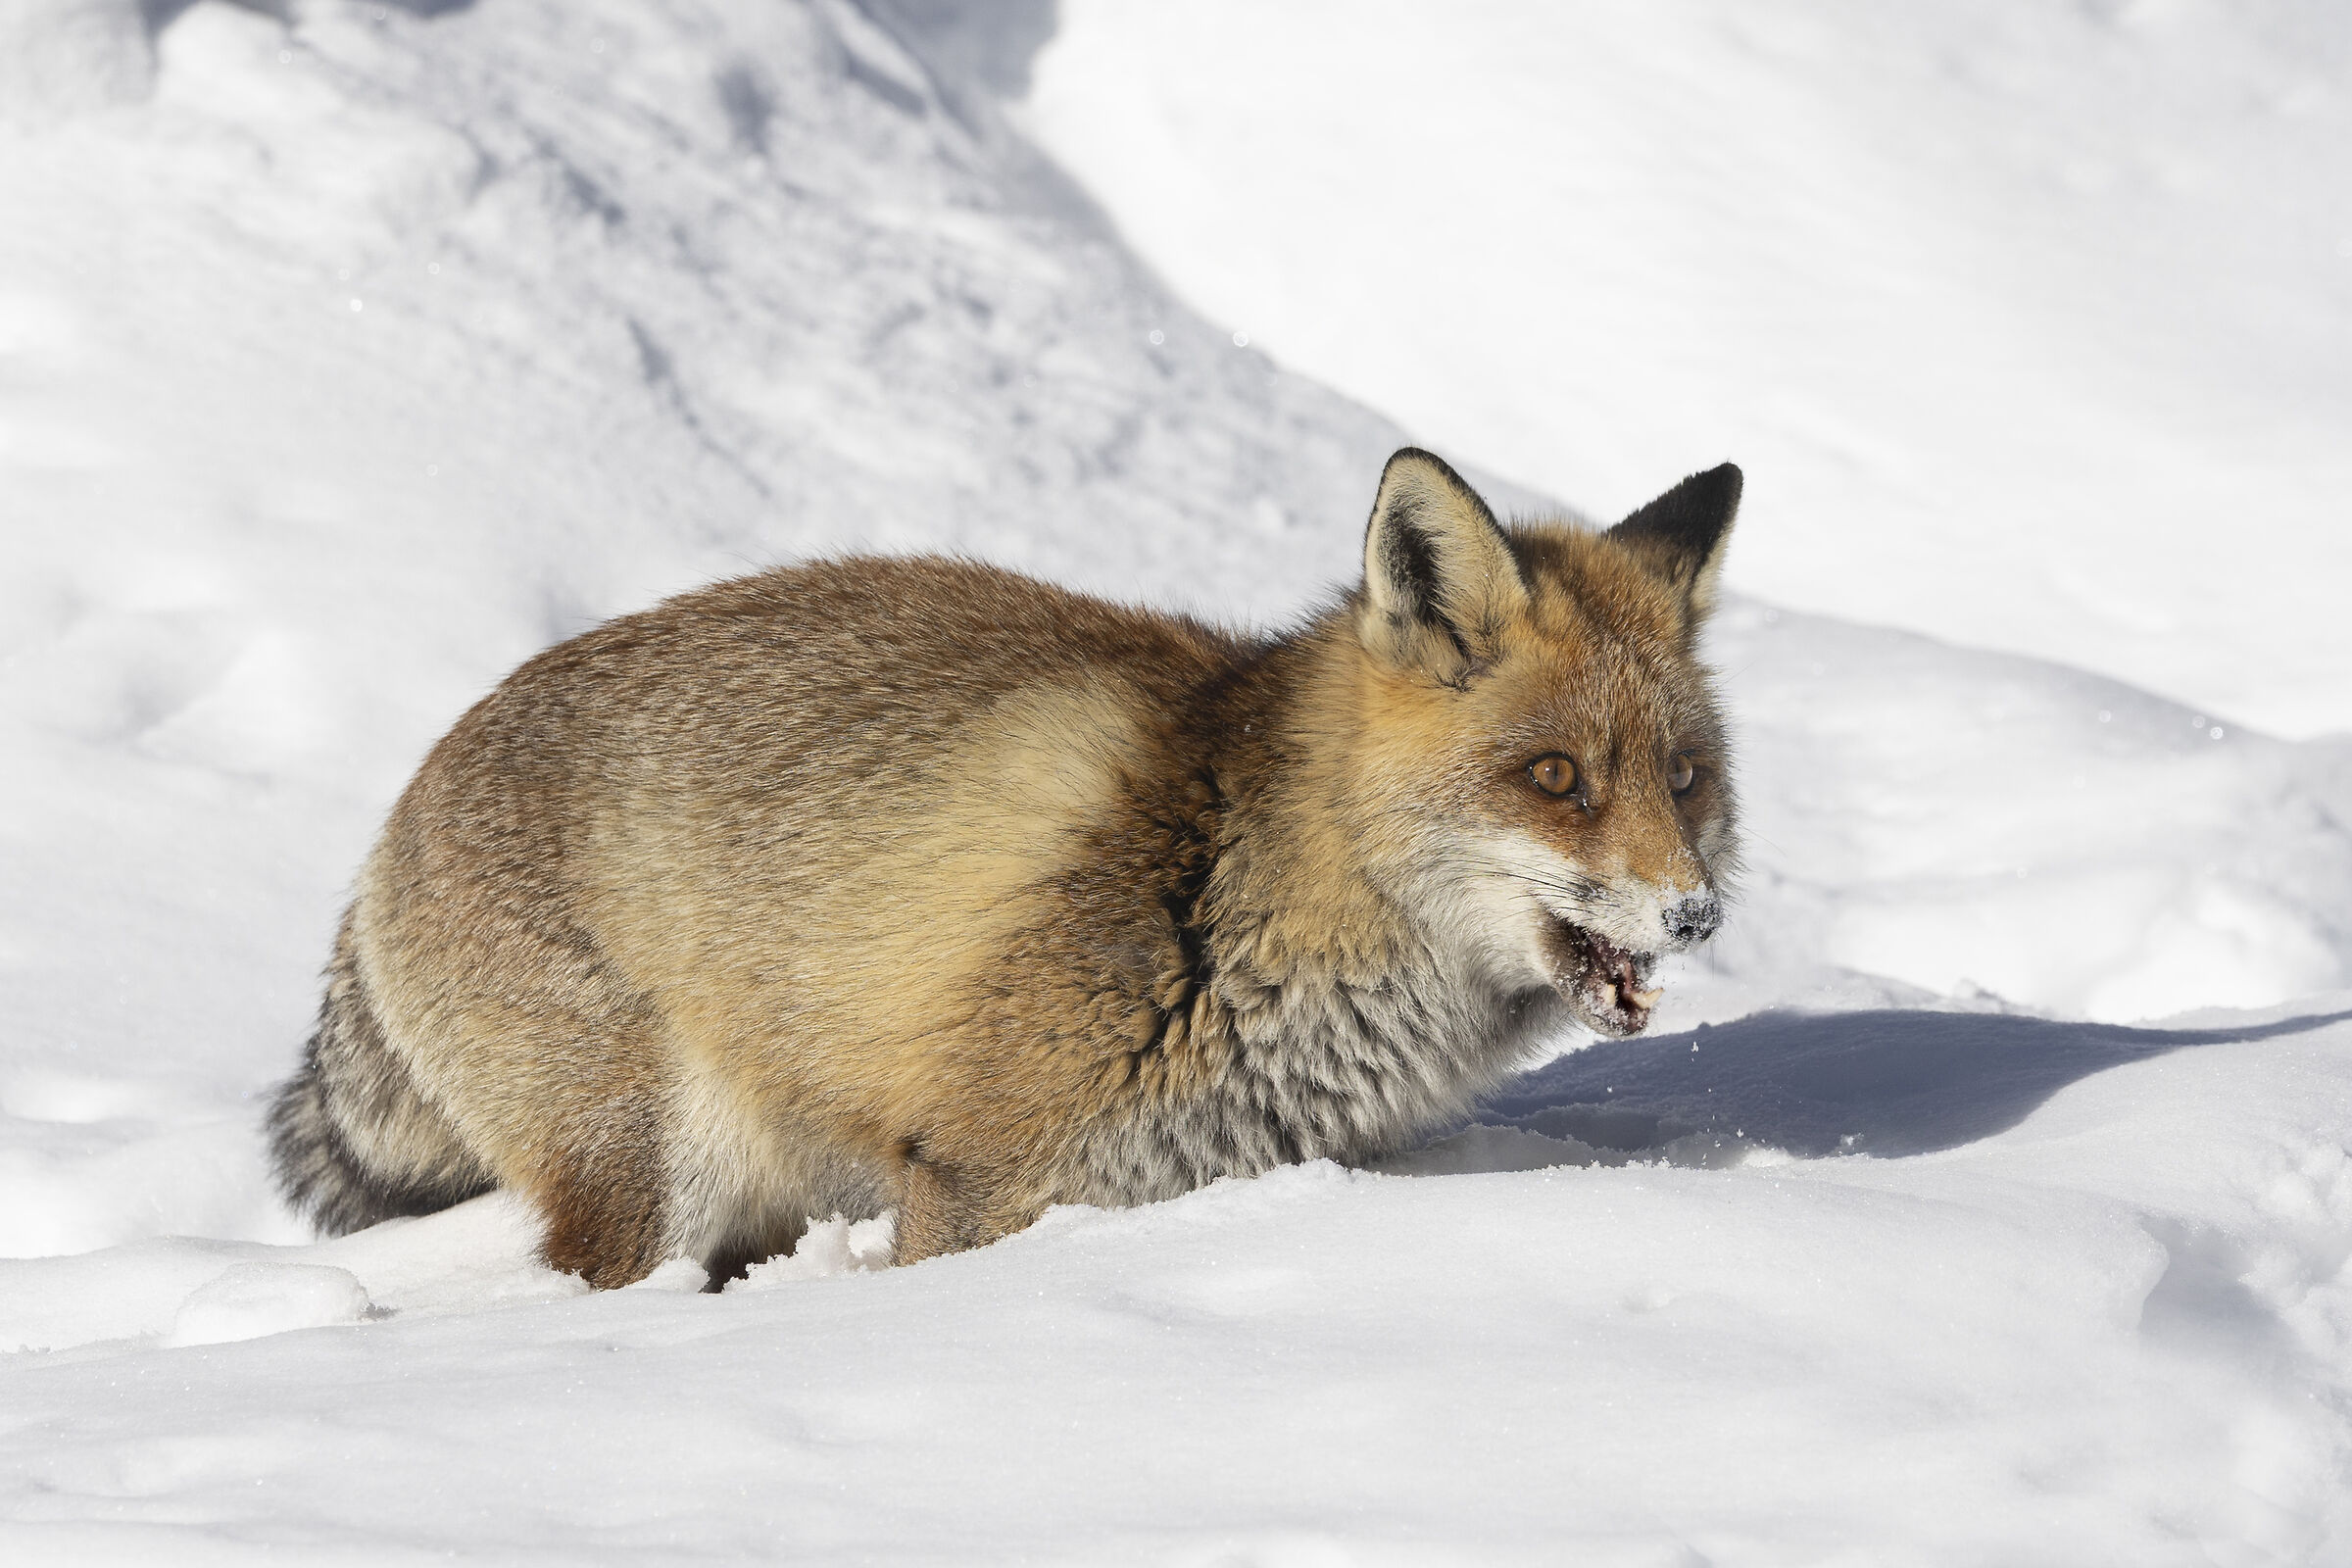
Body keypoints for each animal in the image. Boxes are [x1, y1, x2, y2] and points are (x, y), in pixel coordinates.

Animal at [267, 448, 1743, 1288]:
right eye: (1555, 777)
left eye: (1683, 778)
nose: (1695, 912)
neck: (1242, 879)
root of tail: (394, 816)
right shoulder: (975, 1171)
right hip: (656, 1183)